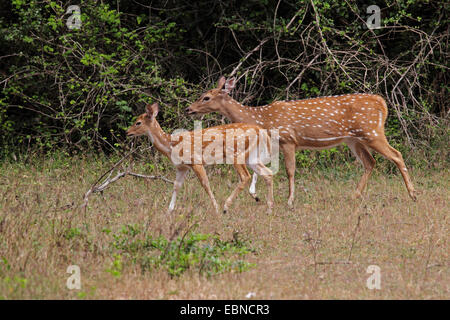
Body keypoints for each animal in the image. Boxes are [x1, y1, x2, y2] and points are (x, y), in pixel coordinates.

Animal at [126, 102, 274, 214]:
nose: (127, 132)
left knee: (245, 176)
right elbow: (176, 186)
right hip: (251, 156)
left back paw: (226, 207)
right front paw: (169, 210)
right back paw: (269, 208)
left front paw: (216, 208)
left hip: (236, 154)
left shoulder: (195, 161)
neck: (171, 145)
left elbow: (205, 184)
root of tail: (260, 131)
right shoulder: (182, 167)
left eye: (138, 122)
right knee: (268, 173)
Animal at [185, 76, 414, 204]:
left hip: (372, 132)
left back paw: (412, 194)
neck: (262, 119)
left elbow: (290, 171)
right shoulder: (272, 144)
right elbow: (261, 169)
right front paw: (255, 195)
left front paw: (289, 200)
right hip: (353, 139)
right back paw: (354, 196)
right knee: (370, 162)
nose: (189, 109)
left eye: (206, 97)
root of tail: (382, 103)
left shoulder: (288, 139)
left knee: (396, 154)